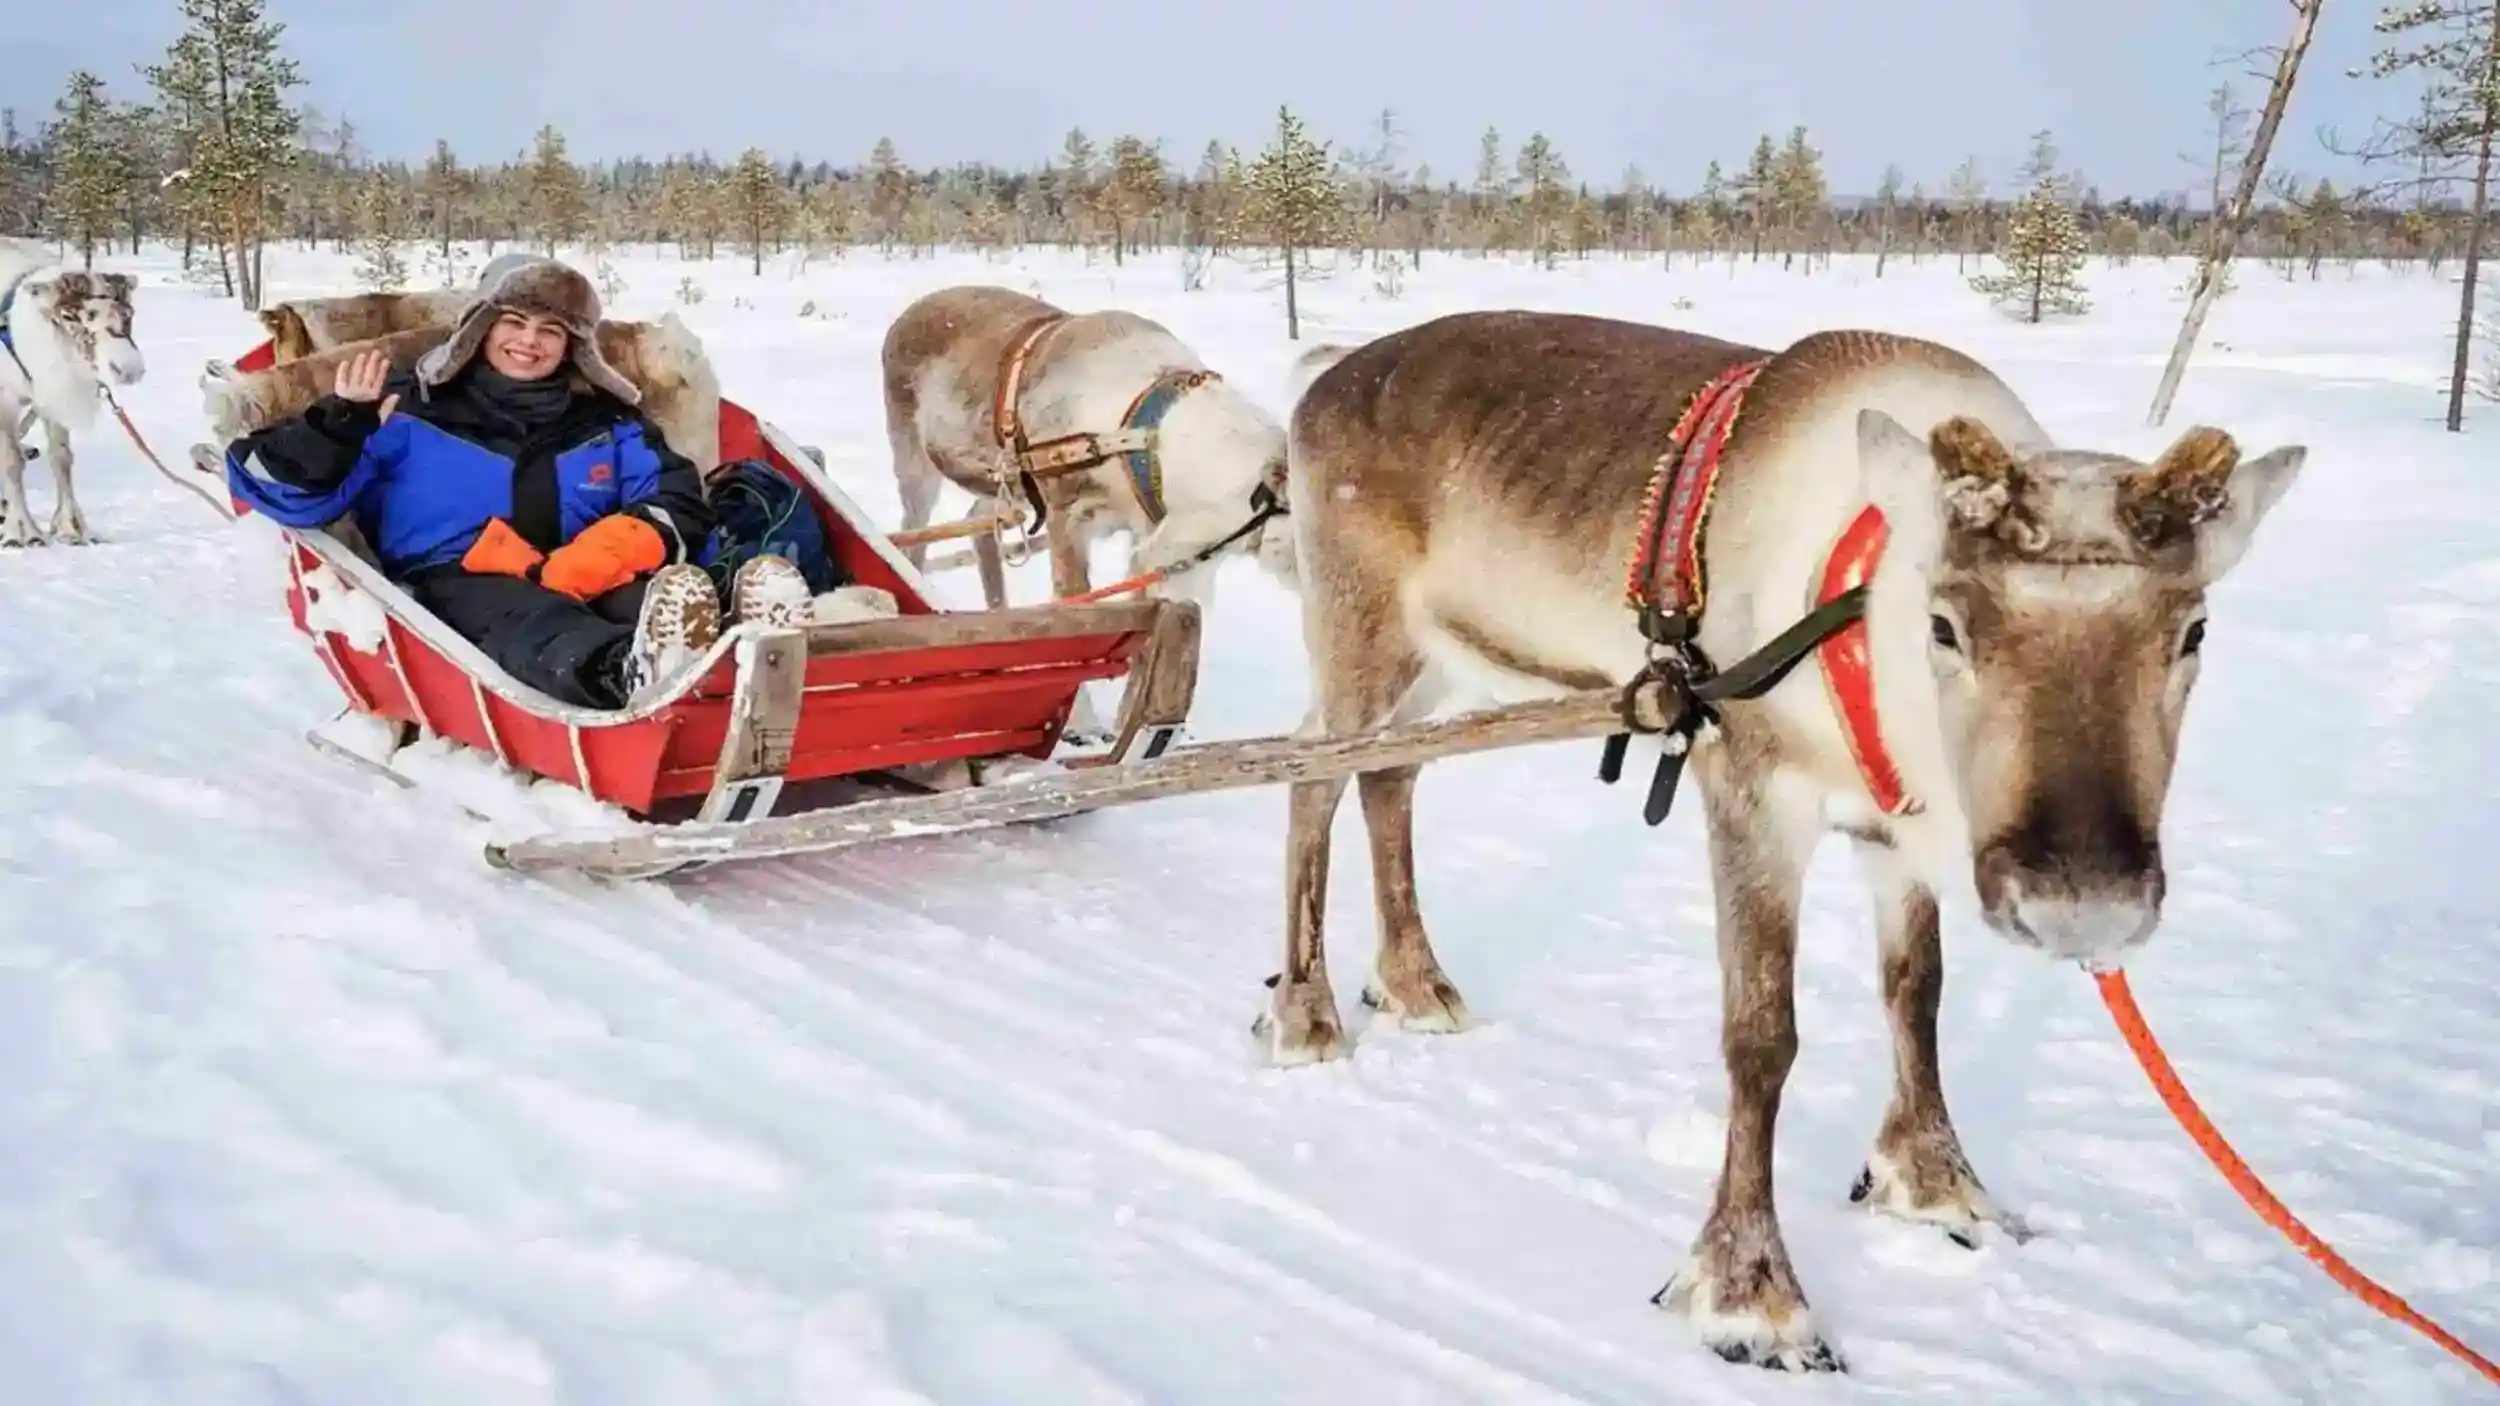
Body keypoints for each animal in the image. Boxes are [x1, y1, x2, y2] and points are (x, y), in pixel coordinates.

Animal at [1267, 310, 2304, 1375]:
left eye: (2193, 631)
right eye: (1946, 625)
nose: (2081, 905)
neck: (1855, 614)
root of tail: (1326, 375)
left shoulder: (1894, 832)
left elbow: (1917, 996)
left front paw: (1936, 1183)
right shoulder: (1752, 791)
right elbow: (1763, 1037)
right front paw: (1750, 1294)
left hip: (1444, 669)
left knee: (1390, 779)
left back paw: (1414, 984)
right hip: (1360, 640)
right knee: (1310, 773)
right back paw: (1305, 1014)